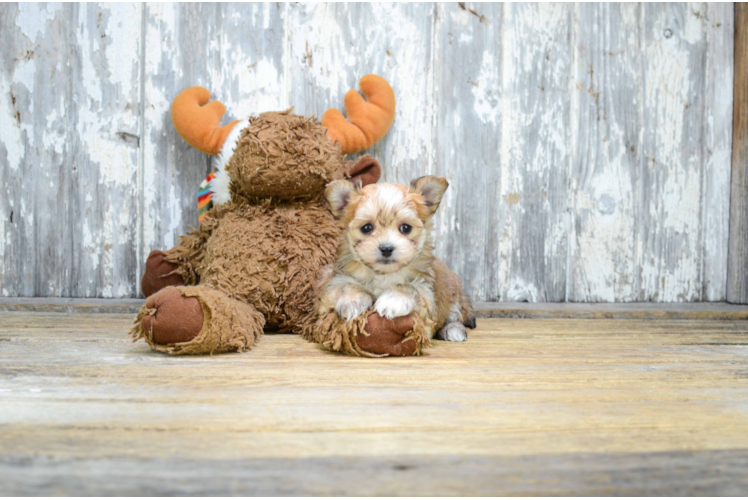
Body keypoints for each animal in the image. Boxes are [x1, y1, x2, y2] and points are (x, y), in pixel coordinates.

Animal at [320, 174, 474, 342]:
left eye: (405, 228)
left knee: (455, 316)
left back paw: (452, 329)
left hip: (454, 296)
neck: (384, 274)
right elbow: (345, 285)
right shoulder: (334, 280)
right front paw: (352, 301)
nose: (386, 248)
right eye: (366, 228)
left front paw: (392, 300)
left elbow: (409, 288)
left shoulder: (427, 291)